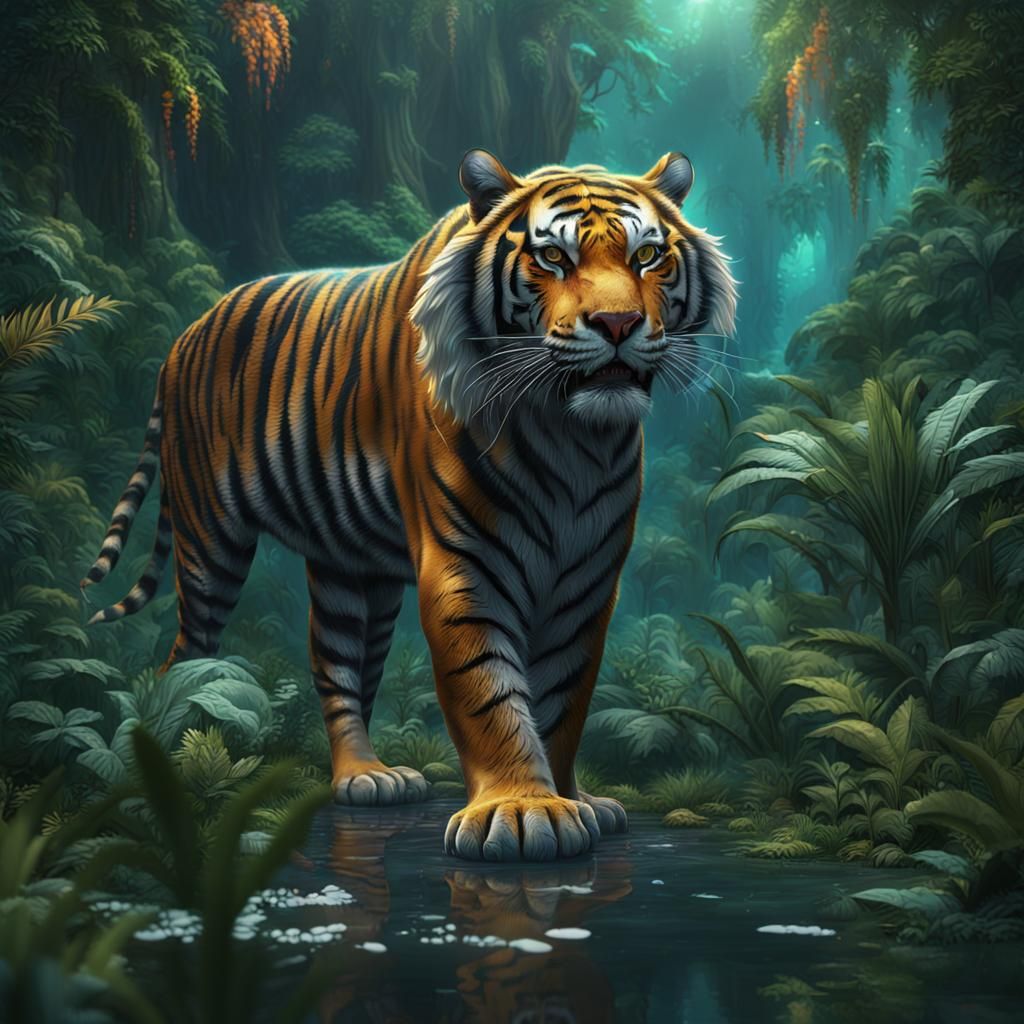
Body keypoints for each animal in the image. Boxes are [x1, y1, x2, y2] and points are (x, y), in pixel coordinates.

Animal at [82, 149, 737, 862]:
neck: (572, 437)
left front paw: (574, 798)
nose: (618, 326)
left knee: (340, 663)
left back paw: (367, 774)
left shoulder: (587, 581)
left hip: (351, 570)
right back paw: (184, 759)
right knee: (191, 655)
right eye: (553, 258)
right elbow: (489, 693)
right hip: (211, 542)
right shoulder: (464, 567)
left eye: (647, 255)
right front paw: (523, 810)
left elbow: (564, 699)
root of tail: (184, 336)